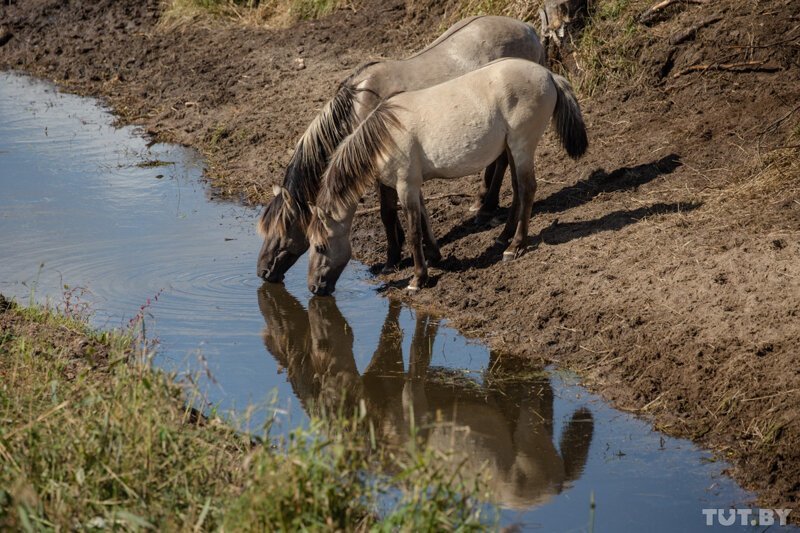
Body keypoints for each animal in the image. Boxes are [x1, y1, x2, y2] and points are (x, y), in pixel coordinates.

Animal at [253, 14, 548, 282]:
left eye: (282, 231)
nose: (263, 272)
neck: (360, 105)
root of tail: (529, 28)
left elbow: (387, 212)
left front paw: (393, 259)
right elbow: (416, 210)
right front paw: (427, 251)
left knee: (502, 164)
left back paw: (488, 208)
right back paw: (482, 204)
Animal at [306, 58, 588, 296]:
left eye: (320, 247)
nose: (313, 287)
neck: (385, 134)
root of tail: (549, 75)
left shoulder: (405, 186)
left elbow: (413, 232)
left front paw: (418, 279)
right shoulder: (413, 186)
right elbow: (424, 220)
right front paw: (435, 257)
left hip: (522, 145)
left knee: (528, 190)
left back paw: (515, 246)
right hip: (511, 148)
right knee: (518, 190)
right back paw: (503, 237)